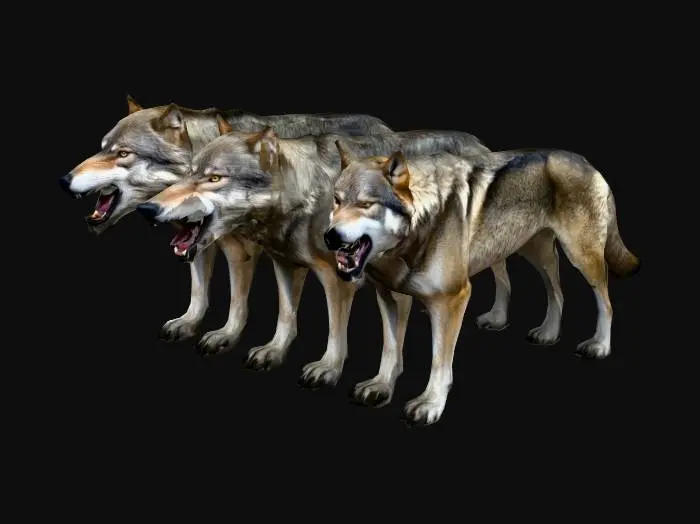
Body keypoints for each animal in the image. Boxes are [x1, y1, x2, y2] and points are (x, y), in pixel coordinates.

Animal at [58, 96, 395, 353]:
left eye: (123, 153)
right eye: (102, 147)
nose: (64, 180)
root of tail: (384, 126)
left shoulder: (240, 251)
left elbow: (237, 298)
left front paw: (227, 335)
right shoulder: (197, 241)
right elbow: (198, 289)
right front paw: (189, 323)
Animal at [324, 147, 640, 425]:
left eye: (366, 204)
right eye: (337, 201)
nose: (329, 237)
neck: (420, 225)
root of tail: (586, 162)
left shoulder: (452, 299)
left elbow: (439, 360)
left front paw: (430, 404)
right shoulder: (390, 295)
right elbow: (390, 349)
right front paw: (381, 386)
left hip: (581, 256)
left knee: (605, 301)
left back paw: (599, 345)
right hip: (537, 254)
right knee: (557, 292)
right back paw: (548, 333)